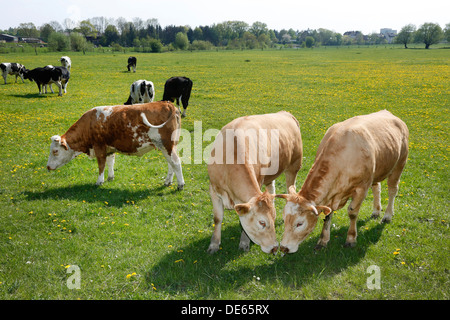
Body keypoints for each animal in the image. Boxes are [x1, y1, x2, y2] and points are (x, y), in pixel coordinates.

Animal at [46, 100, 185, 190]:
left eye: (55, 151)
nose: (47, 167)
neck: (89, 123)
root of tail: (167, 103)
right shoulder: (109, 148)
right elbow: (110, 162)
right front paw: (110, 177)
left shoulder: (99, 147)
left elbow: (101, 165)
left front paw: (99, 181)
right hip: (168, 147)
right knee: (171, 163)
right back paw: (168, 182)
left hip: (167, 145)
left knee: (176, 162)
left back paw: (180, 185)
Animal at [207, 111, 302, 254]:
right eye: (262, 222)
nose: (275, 247)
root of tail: (285, 113)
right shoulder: (213, 189)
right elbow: (217, 218)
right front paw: (214, 244)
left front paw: (244, 243)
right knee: (272, 189)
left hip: (293, 167)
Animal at [276, 110, 410, 255]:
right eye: (284, 219)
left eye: (300, 223)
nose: (283, 247)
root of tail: (390, 114)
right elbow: (328, 216)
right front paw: (323, 240)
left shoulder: (362, 187)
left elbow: (352, 213)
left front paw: (351, 239)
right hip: (377, 170)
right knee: (377, 188)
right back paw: (376, 211)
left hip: (400, 163)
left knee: (392, 190)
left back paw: (387, 216)